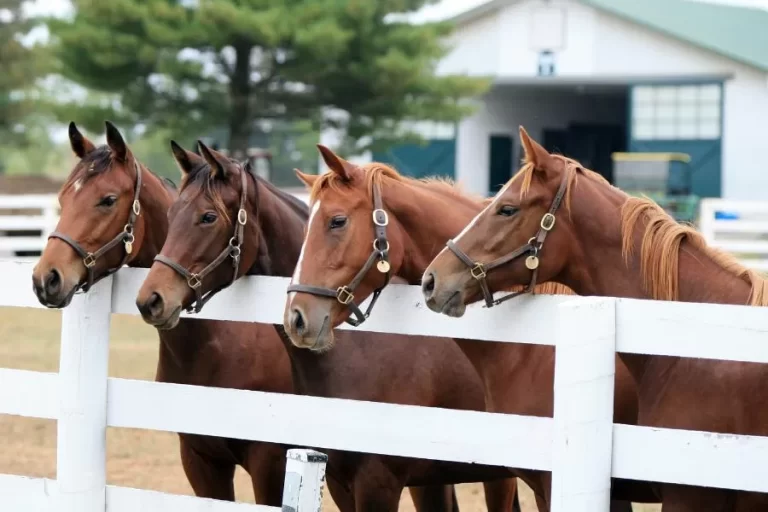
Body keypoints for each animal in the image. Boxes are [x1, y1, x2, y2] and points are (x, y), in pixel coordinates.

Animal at [32, 120, 294, 504]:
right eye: (64, 199)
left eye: (108, 200)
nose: (45, 278)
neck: (228, 338)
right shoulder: (200, 459)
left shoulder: (270, 463)